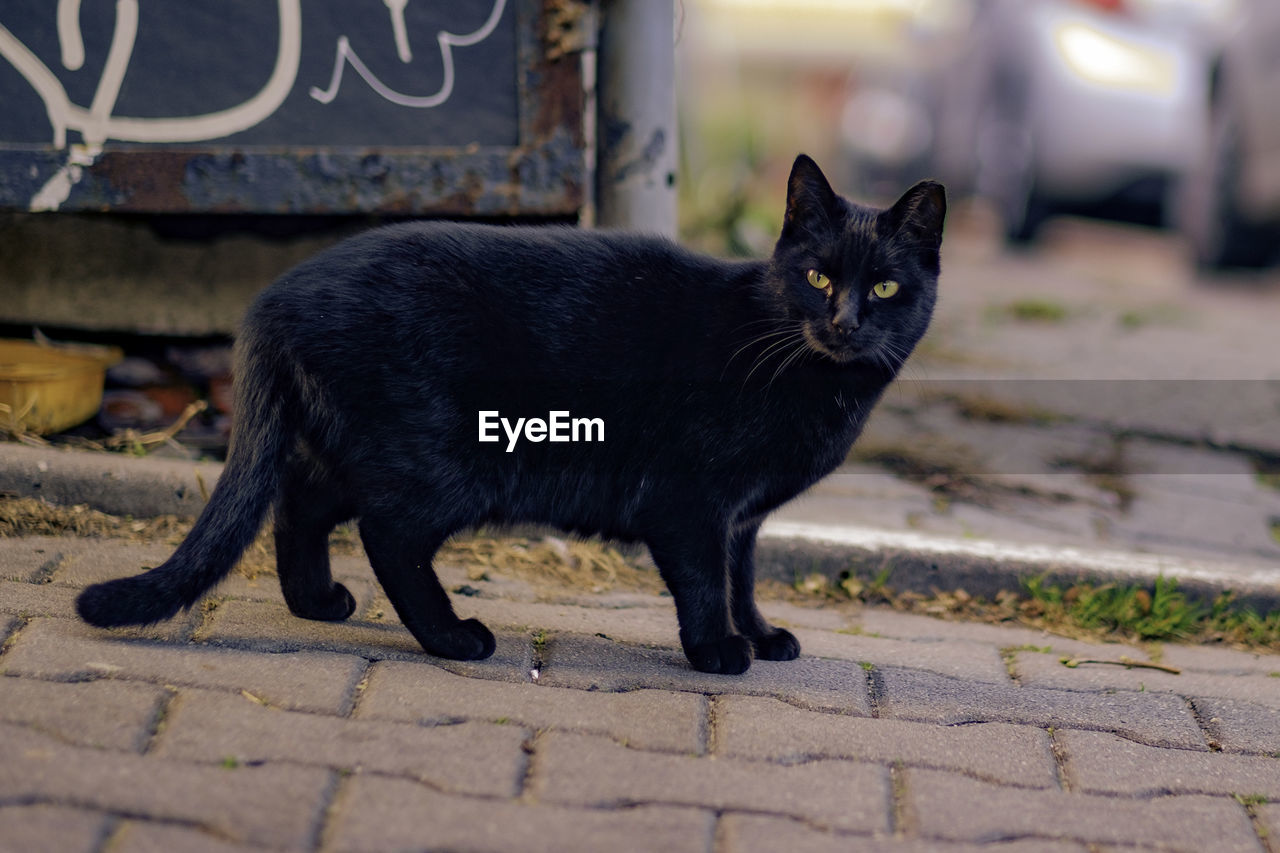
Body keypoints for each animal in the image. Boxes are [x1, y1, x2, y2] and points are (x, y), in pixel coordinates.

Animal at [77, 153, 942, 671]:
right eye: (819, 277)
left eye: (886, 286)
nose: (845, 323)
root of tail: (272, 298)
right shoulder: (693, 501)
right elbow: (705, 580)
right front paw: (718, 649)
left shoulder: (745, 518)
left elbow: (745, 578)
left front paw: (759, 635)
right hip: (442, 460)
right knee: (388, 535)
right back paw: (453, 636)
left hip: (364, 446)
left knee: (301, 503)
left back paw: (317, 602)